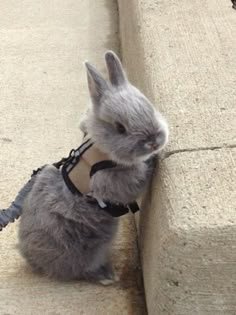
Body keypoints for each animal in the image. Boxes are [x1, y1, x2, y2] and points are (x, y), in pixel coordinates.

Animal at [17, 51, 169, 284]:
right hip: (85, 246)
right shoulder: (111, 181)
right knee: (79, 268)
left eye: (150, 107)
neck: (103, 149)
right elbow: (135, 183)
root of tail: (31, 258)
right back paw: (106, 275)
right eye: (120, 128)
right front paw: (152, 161)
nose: (154, 142)